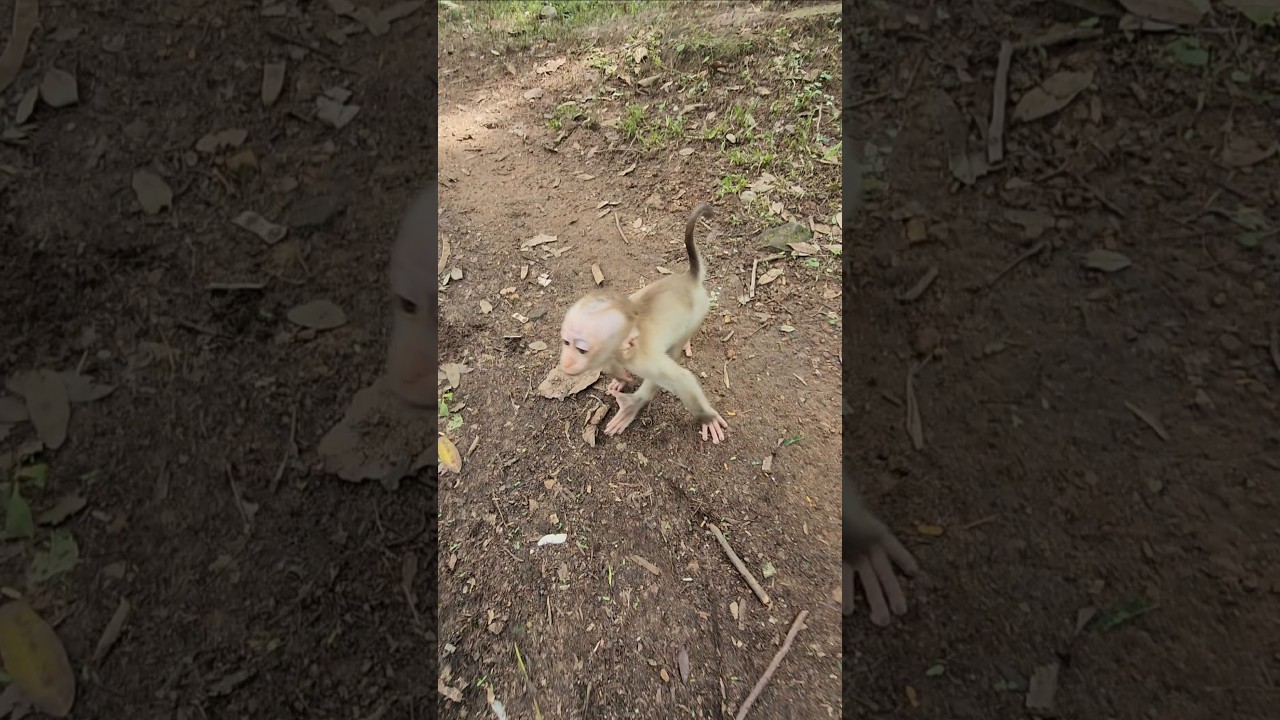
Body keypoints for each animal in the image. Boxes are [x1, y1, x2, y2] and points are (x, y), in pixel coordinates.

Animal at [557, 203, 729, 444]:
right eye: (566, 342)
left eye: (581, 350)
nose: (567, 362)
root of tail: (689, 278)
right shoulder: (611, 355)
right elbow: (612, 367)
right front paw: (621, 378)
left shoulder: (642, 360)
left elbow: (682, 379)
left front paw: (707, 418)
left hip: (700, 310)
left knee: (674, 351)